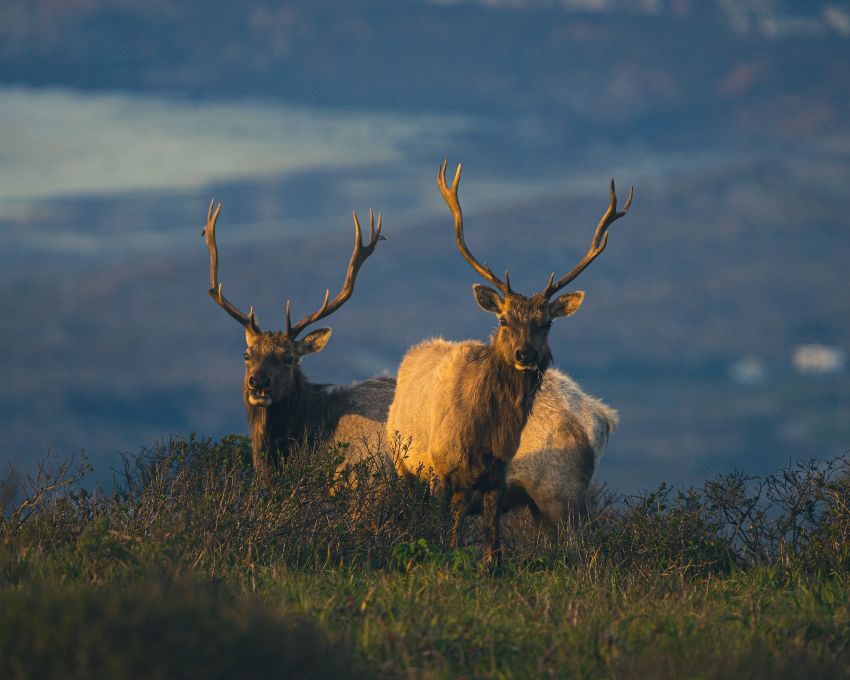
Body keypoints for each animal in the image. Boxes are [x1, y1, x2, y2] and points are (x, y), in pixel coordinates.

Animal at [384, 161, 628, 564]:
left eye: (546, 323)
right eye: (502, 320)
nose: (525, 354)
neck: (481, 436)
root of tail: (605, 418)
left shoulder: (493, 481)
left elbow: (490, 550)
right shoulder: (438, 473)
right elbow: (453, 542)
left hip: (561, 494)